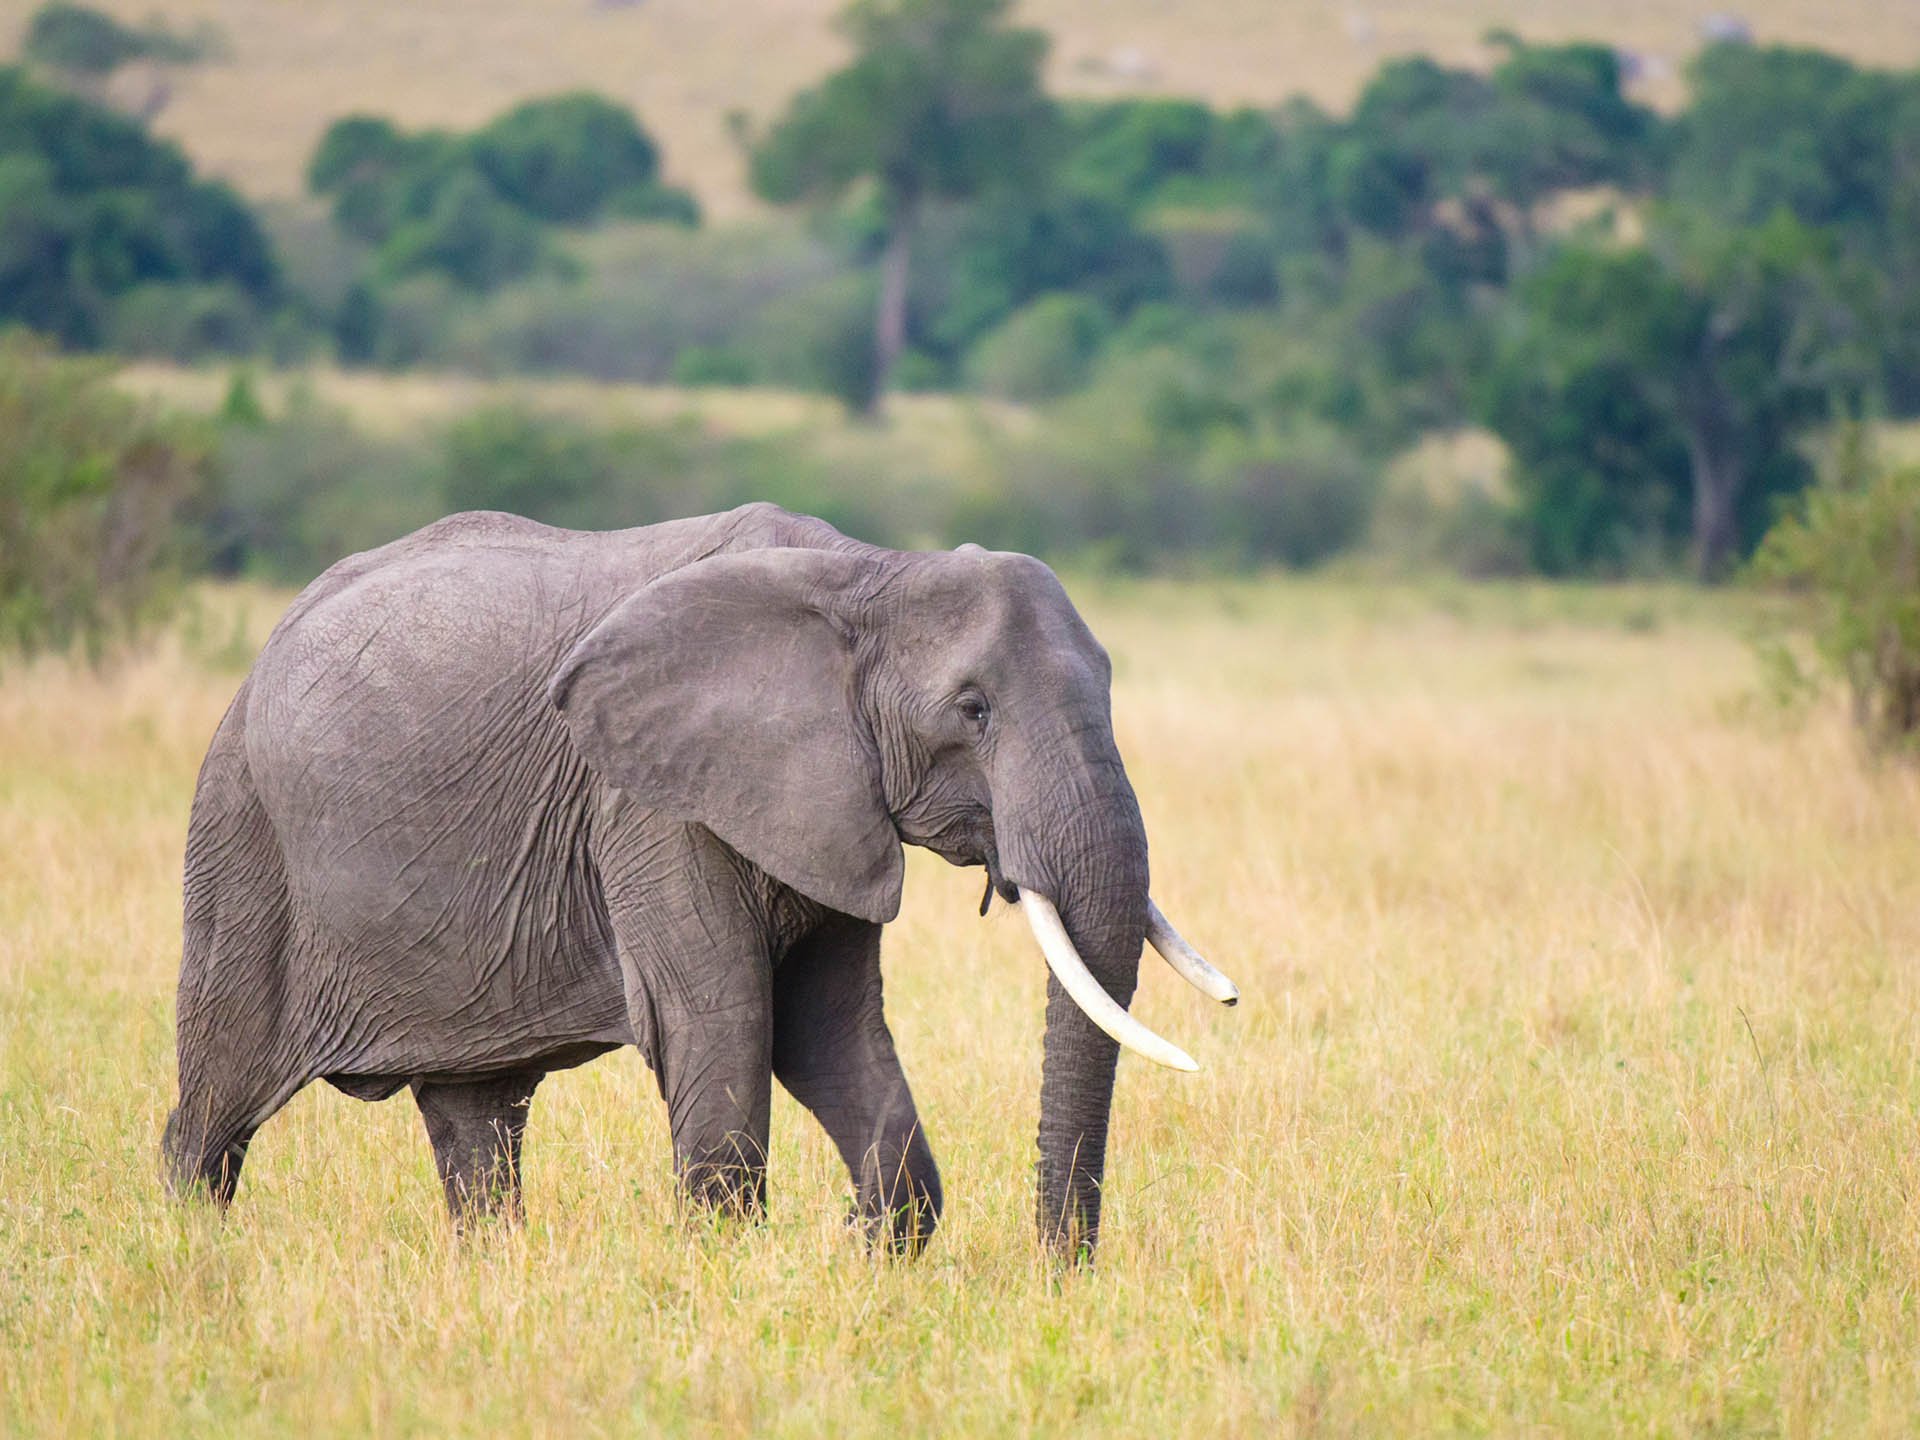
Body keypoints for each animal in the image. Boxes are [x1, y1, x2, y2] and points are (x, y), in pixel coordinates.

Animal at [162, 503, 1236, 1256]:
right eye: (972, 709)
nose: (1060, 1273)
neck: (868, 576)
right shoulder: (648, 804)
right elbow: (724, 1019)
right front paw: (734, 1273)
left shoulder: (830, 803)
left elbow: (829, 1031)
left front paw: (868, 1254)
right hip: (241, 835)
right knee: (215, 1108)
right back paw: (188, 1257)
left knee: (478, 1119)